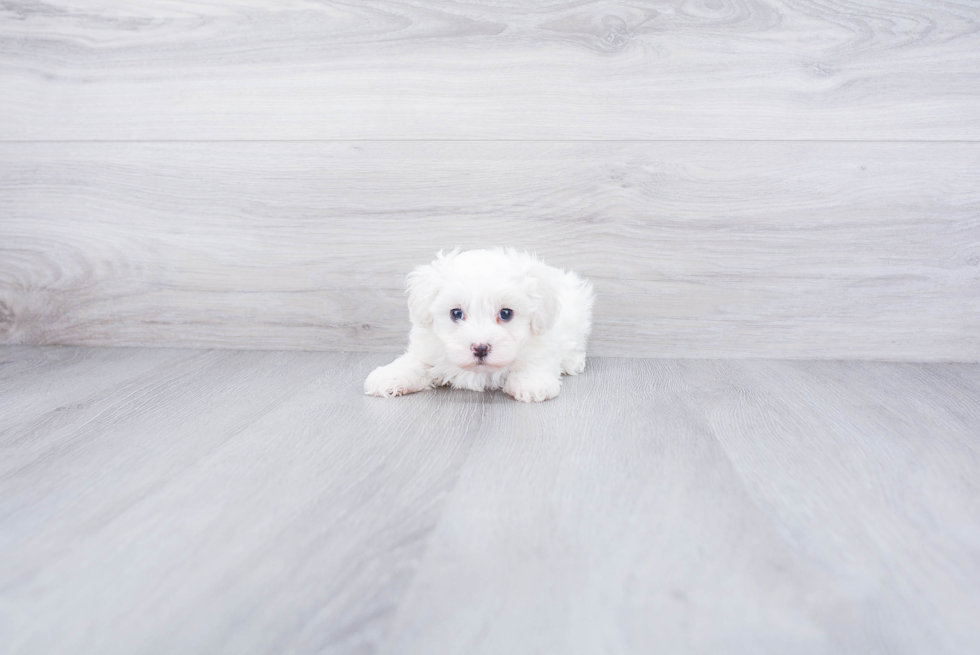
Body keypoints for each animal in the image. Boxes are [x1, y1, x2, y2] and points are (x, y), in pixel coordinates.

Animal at [364, 250, 592, 402]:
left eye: (506, 313)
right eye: (456, 313)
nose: (480, 348)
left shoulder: (541, 343)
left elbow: (532, 363)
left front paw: (532, 383)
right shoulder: (428, 350)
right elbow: (413, 363)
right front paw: (388, 377)